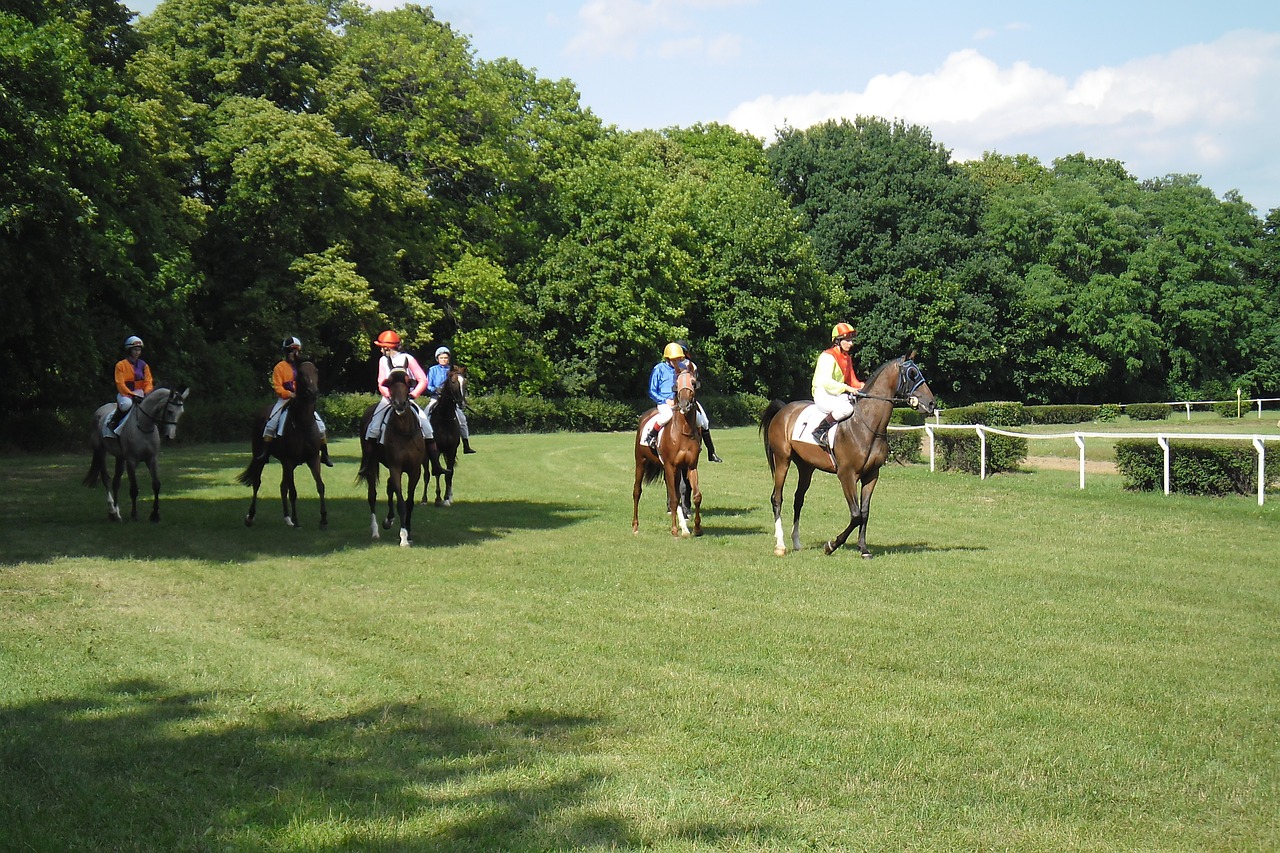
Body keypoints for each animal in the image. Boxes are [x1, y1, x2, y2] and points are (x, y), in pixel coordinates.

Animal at [85, 384, 188, 517]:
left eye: (181, 412)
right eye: (170, 411)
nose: (170, 436)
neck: (144, 426)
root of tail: (98, 412)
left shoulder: (152, 459)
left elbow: (156, 485)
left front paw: (155, 514)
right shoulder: (131, 461)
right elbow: (134, 489)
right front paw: (134, 514)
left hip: (119, 457)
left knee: (116, 482)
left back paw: (117, 511)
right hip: (101, 451)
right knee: (106, 479)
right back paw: (112, 510)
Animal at [358, 366, 427, 545]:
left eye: (408, 382)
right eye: (388, 383)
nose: (399, 404)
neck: (404, 431)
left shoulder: (414, 470)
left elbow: (409, 502)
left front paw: (407, 532)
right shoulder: (396, 467)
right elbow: (401, 502)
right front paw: (403, 537)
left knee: (389, 487)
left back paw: (388, 520)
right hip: (372, 464)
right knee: (372, 495)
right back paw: (375, 531)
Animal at [634, 368, 706, 535]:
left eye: (693, 382)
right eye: (676, 384)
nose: (685, 404)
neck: (683, 431)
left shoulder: (691, 466)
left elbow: (696, 496)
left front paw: (697, 528)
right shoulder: (669, 465)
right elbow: (673, 498)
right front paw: (674, 529)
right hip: (640, 462)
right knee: (637, 492)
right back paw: (635, 526)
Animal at [752, 353, 936, 558]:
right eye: (912, 373)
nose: (931, 403)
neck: (865, 425)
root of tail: (784, 410)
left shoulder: (872, 475)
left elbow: (864, 512)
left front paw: (863, 548)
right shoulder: (847, 475)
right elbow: (856, 515)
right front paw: (831, 545)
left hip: (806, 467)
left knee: (798, 499)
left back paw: (797, 542)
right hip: (782, 460)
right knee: (777, 498)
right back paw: (781, 545)